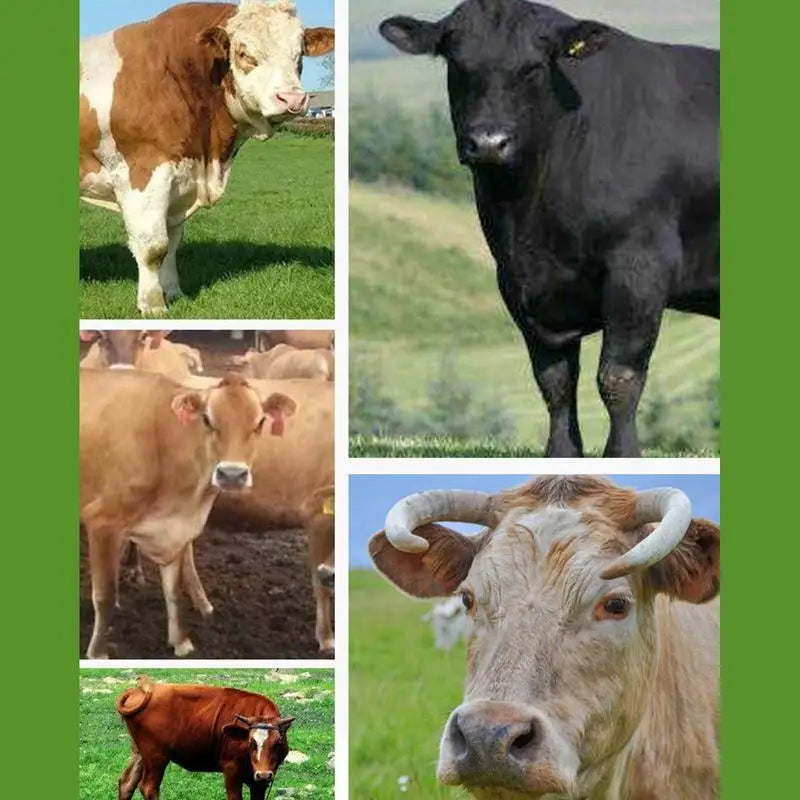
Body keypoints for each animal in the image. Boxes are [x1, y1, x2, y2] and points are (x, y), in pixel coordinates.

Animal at [80, 1, 335, 314]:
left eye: (299, 54)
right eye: (243, 53)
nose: (292, 99)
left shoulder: (181, 179)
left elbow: (172, 243)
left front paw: (173, 292)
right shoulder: (144, 171)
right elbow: (153, 247)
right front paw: (153, 305)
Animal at [80, 369, 296, 658]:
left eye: (260, 422)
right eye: (207, 419)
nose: (232, 475)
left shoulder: (177, 530)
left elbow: (173, 592)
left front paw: (181, 642)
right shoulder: (103, 521)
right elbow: (104, 595)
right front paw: (98, 652)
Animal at [117, 676, 294, 800]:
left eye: (278, 742)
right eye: (251, 742)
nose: (263, 774)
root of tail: (141, 690)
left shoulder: (260, 781)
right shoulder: (231, 769)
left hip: (140, 752)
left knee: (126, 783)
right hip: (156, 756)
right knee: (148, 787)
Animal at [379, 0, 719, 457]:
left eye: (533, 68)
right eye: (459, 64)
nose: (489, 142)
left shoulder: (641, 265)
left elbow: (618, 378)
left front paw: (623, 454)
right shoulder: (515, 280)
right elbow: (554, 381)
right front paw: (561, 453)